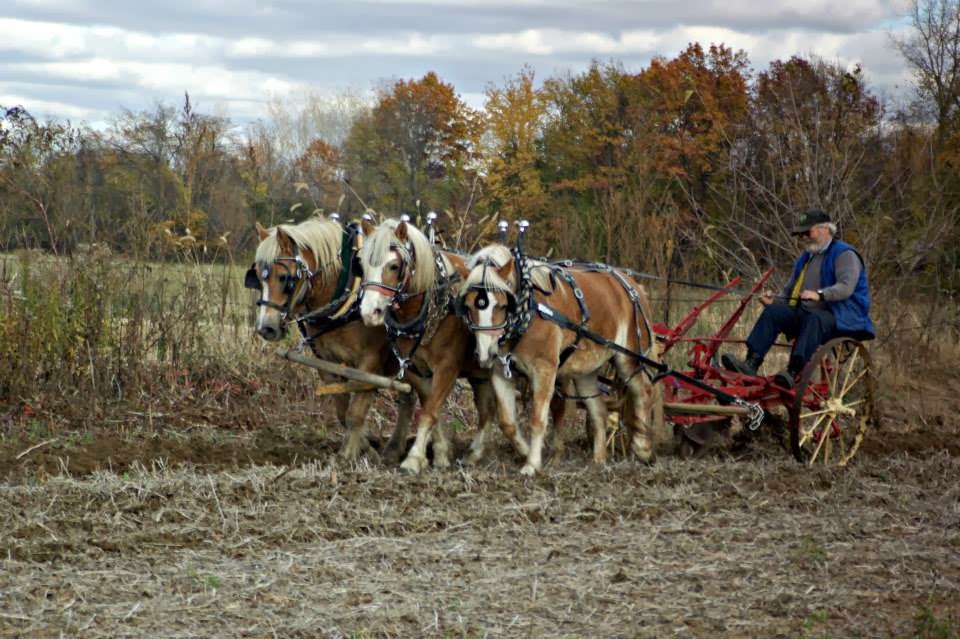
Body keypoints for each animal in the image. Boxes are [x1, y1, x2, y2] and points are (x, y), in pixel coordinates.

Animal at [242, 218, 422, 462]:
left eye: (284, 278)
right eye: (259, 278)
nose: (266, 328)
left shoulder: (370, 364)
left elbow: (355, 412)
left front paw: (349, 455)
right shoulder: (328, 363)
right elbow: (342, 410)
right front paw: (365, 445)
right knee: (409, 398)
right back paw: (394, 449)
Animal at [358, 218, 524, 472]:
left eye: (394, 266)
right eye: (362, 264)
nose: (369, 312)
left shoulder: (447, 367)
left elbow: (429, 411)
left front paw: (414, 458)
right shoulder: (415, 368)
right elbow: (430, 405)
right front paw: (440, 454)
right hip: (482, 371)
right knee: (487, 410)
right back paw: (475, 454)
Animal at [458, 245, 660, 476]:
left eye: (501, 305)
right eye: (468, 306)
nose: (486, 353)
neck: (528, 314)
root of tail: (634, 286)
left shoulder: (544, 370)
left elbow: (538, 419)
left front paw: (532, 464)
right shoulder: (501, 372)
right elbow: (507, 422)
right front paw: (526, 450)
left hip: (630, 357)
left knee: (643, 392)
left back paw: (643, 449)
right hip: (586, 370)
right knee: (599, 411)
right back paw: (599, 460)